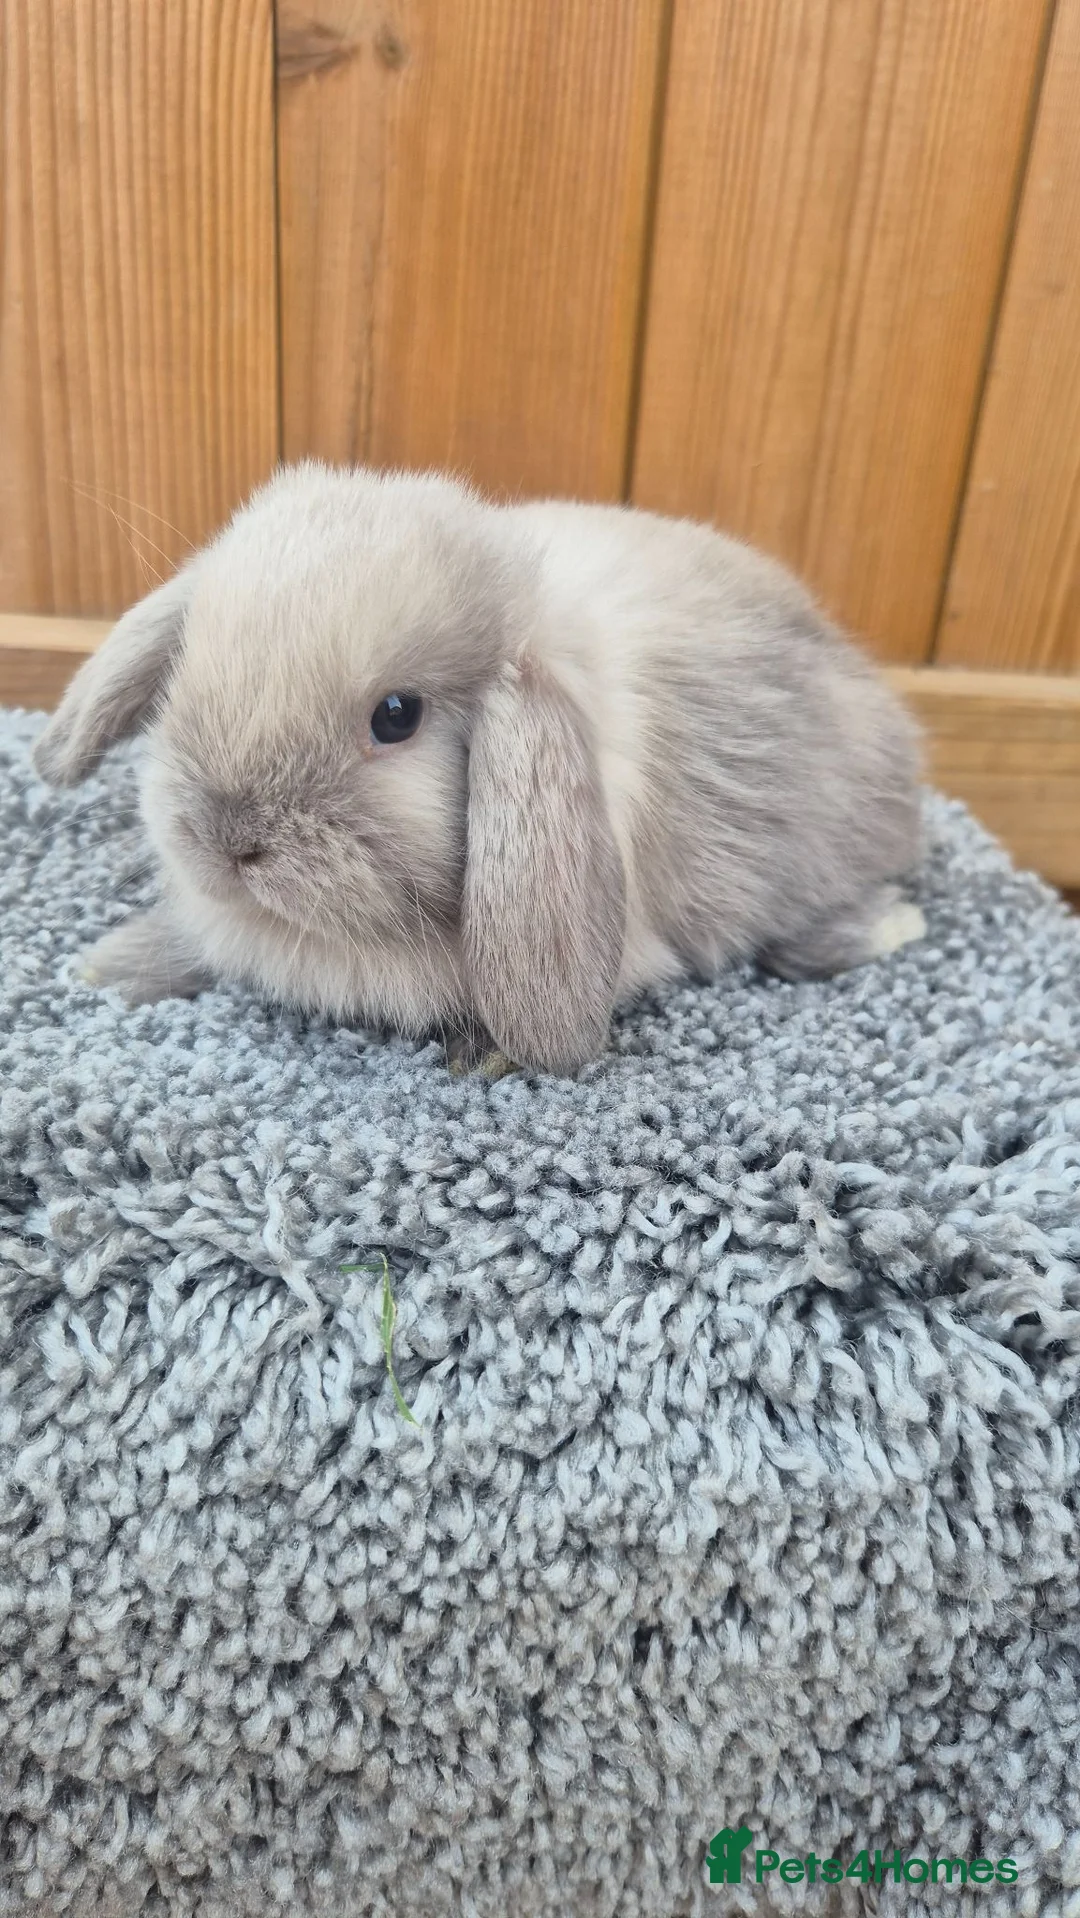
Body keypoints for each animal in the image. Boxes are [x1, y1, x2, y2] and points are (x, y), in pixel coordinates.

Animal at [32, 462, 924, 1075]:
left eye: (398, 716)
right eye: (187, 666)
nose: (226, 840)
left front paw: (486, 1054)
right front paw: (108, 965)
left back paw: (892, 924)